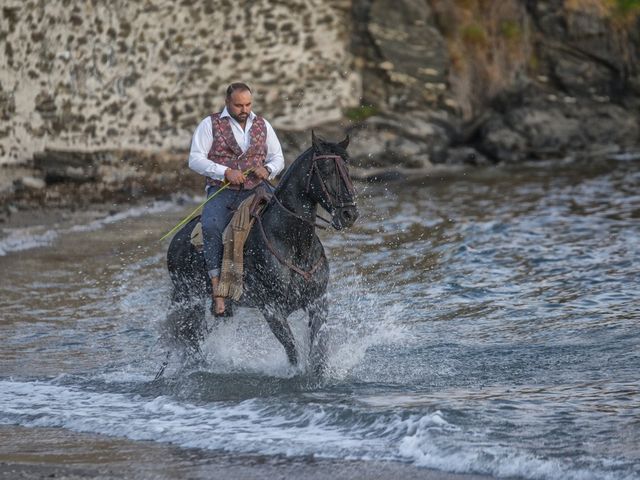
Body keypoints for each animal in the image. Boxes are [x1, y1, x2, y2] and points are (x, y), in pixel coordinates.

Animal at [160, 132, 358, 376]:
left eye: (347, 168)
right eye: (326, 169)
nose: (349, 214)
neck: (291, 243)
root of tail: (176, 240)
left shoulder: (318, 303)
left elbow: (318, 351)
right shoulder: (272, 310)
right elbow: (293, 352)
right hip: (190, 302)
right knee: (193, 344)